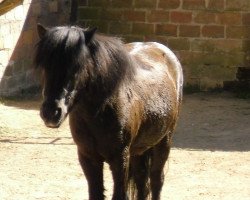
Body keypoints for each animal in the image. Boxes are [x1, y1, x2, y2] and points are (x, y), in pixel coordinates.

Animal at [34, 23, 183, 200]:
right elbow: (96, 193)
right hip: (139, 150)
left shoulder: (120, 159)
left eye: (77, 66)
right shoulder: (88, 158)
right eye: (44, 65)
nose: (51, 113)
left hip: (164, 141)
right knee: (141, 180)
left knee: (156, 180)